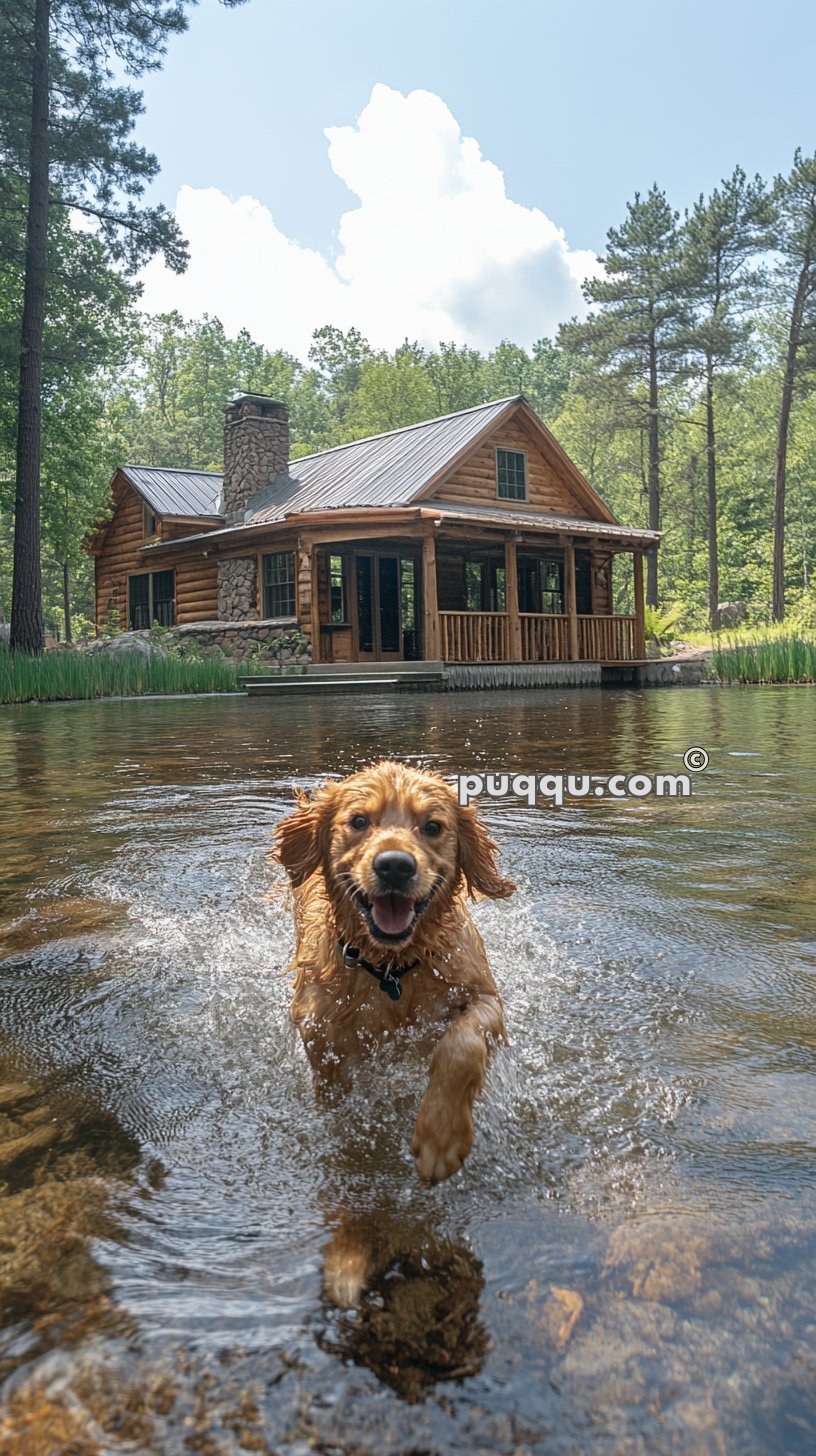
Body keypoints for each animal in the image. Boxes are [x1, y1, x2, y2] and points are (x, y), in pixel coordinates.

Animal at [273, 757, 515, 1188]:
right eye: (358, 821)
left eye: (432, 826)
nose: (395, 867)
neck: (393, 969)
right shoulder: (319, 1028)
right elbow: (337, 1093)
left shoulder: (483, 995)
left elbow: (462, 1046)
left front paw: (441, 1137)